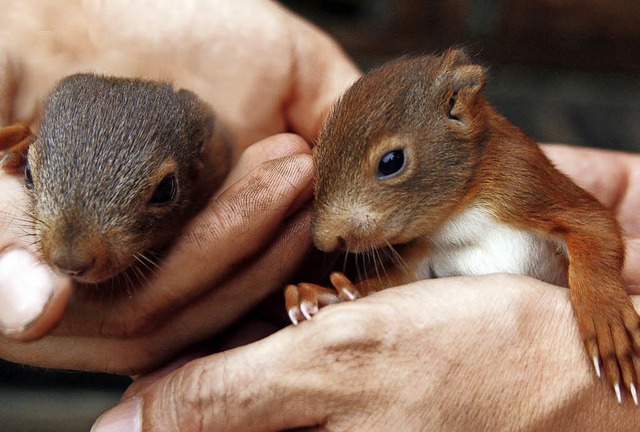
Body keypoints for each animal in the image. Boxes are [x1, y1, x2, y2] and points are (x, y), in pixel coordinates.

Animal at [284, 48, 640, 404]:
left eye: (391, 161)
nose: (324, 239)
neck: (457, 216)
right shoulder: (424, 251)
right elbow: (394, 281)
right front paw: (329, 294)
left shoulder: (529, 188)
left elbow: (596, 229)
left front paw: (607, 319)